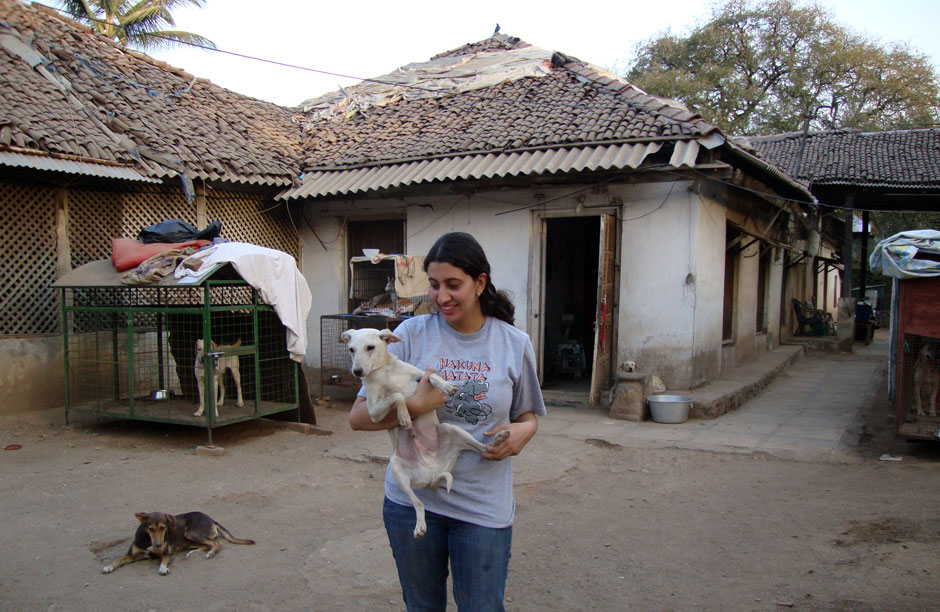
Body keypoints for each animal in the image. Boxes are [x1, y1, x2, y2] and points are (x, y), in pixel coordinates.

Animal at [103, 512, 253, 576]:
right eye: (150, 528)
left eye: (163, 527)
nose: (158, 544)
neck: (149, 540)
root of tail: (211, 519)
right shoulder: (132, 555)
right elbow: (118, 559)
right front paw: (108, 566)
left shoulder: (165, 554)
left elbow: (163, 561)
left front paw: (163, 568)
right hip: (189, 539)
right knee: (208, 544)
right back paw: (192, 553)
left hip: (191, 532)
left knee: (217, 542)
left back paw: (210, 553)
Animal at [344, 328, 510, 536]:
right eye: (351, 349)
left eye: (370, 347)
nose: (357, 372)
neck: (385, 372)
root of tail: (432, 473)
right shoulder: (373, 411)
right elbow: (397, 396)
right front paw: (404, 417)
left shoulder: (418, 373)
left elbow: (431, 376)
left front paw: (447, 386)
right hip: (397, 468)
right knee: (419, 504)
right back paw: (420, 526)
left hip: (452, 430)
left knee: (483, 449)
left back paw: (498, 440)